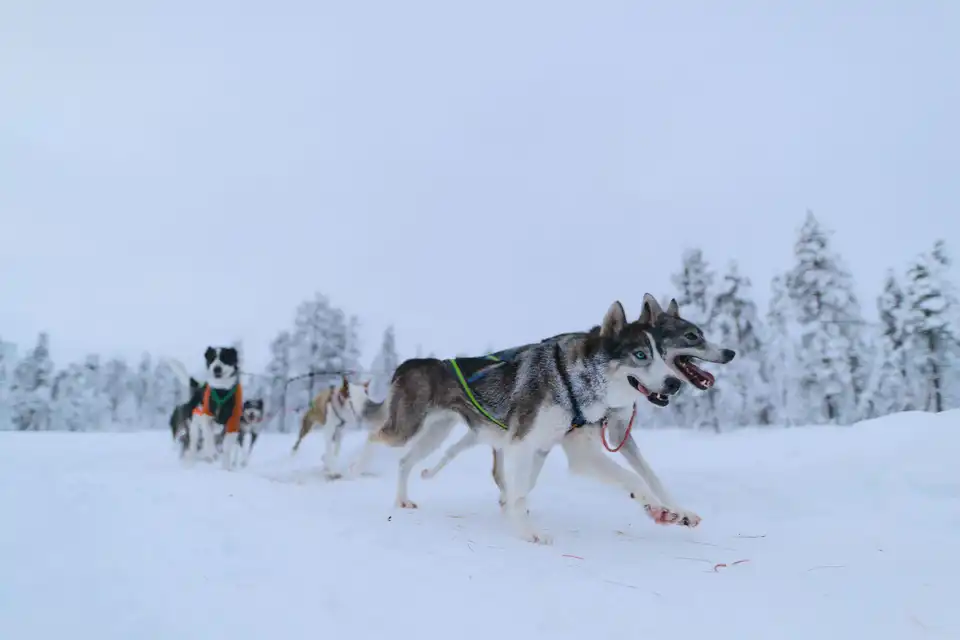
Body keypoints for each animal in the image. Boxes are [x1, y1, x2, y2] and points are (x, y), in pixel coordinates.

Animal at [351, 294, 733, 544]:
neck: (572, 381)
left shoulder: (566, 447)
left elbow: (643, 477)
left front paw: (668, 510)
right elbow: (631, 479)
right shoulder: (533, 444)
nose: (672, 384)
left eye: (659, 354)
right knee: (373, 436)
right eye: (640, 355)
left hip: (436, 434)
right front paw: (528, 531)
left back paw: (402, 498)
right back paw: (354, 468)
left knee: (405, 461)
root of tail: (412, 363)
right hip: (407, 427)